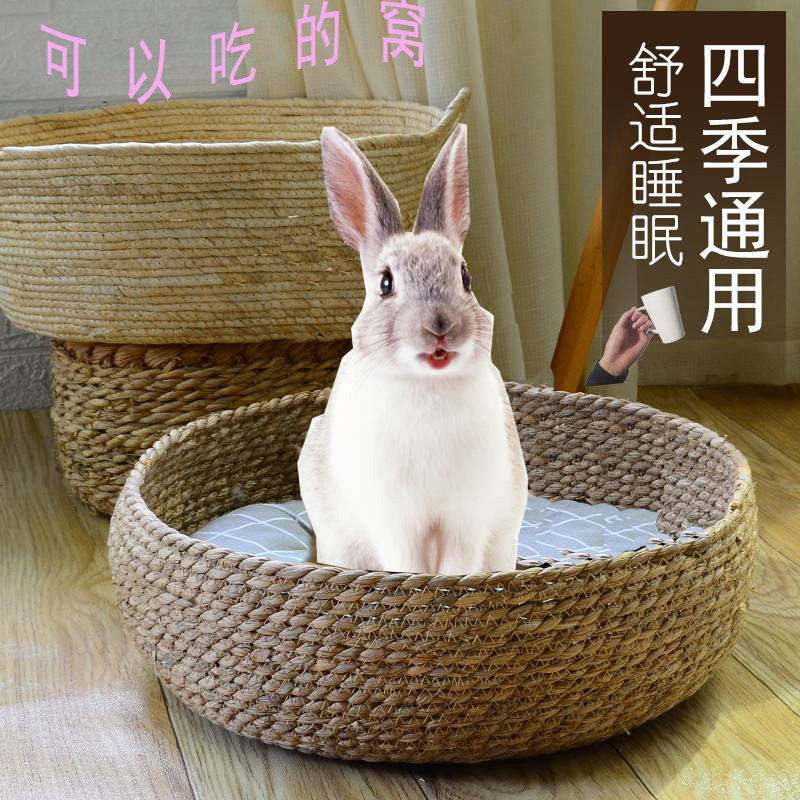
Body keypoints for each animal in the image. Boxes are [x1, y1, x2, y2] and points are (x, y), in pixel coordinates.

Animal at [298, 123, 528, 574]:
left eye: (465, 277)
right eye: (385, 283)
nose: (440, 326)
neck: (427, 386)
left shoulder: (466, 520)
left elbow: (458, 567)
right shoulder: (396, 523)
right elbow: (408, 566)